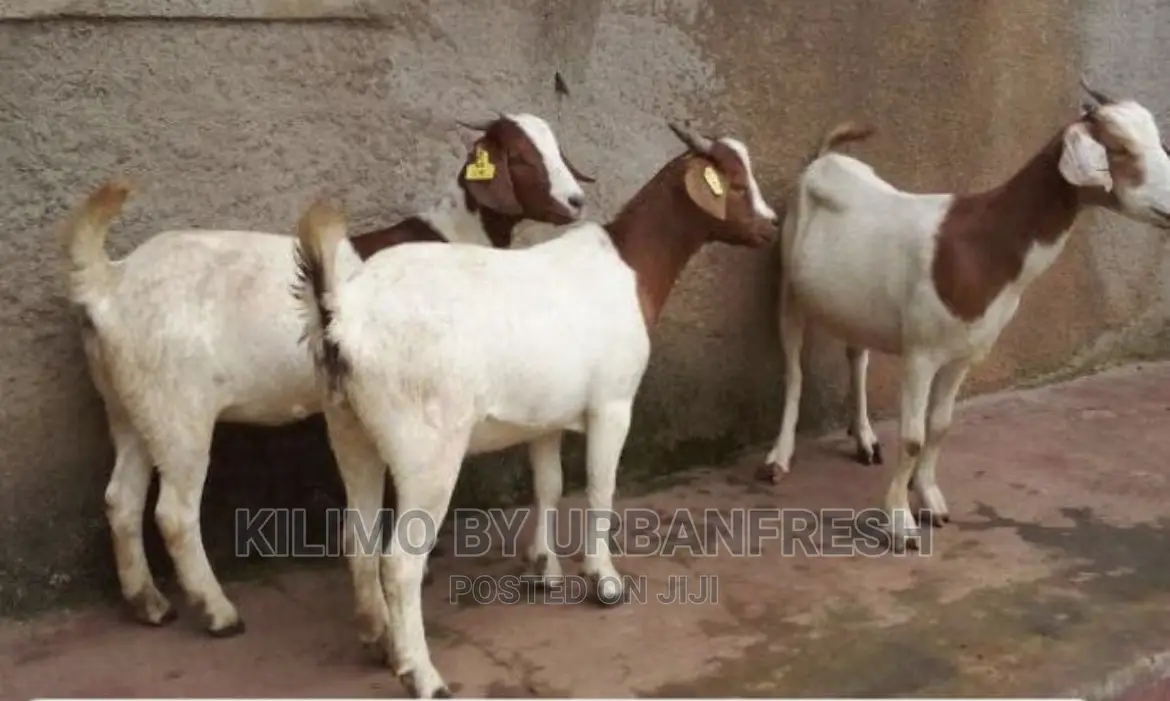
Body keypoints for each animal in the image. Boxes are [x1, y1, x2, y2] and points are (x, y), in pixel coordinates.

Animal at [59, 113, 594, 637]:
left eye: (557, 148)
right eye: (521, 157)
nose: (576, 201)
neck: (457, 234)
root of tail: (108, 281)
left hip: (129, 403)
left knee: (121, 499)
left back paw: (148, 603)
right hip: (177, 407)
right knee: (173, 512)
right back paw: (218, 612)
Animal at [292, 122, 777, 698]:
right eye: (735, 183)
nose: (772, 227)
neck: (631, 266)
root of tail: (346, 316)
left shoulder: (545, 415)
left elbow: (547, 485)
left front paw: (545, 569)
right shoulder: (613, 403)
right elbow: (599, 487)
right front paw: (603, 580)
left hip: (349, 430)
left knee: (357, 539)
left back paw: (379, 640)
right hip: (426, 449)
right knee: (401, 562)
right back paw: (423, 674)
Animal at [760, 78, 1170, 552]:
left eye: (1156, 138)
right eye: (1119, 148)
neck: (983, 244)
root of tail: (825, 158)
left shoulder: (965, 354)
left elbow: (940, 427)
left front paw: (931, 500)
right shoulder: (921, 353)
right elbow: (913, 438)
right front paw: (900, 523)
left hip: (854, 302)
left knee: (856, 355)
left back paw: (864, 440)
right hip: (789, 284)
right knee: (794, 371)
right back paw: (778, 458)